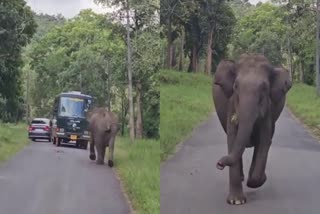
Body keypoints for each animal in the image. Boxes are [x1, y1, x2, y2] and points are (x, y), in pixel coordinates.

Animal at [212, 54, 292, 205]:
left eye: (265, 88)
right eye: (236, 86)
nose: (219, 164)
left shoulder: (268, 108)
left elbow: (265, 139)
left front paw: (255, 181)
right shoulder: (232, 103)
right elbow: (232, 138)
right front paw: (236, 201)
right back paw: (242, 178)